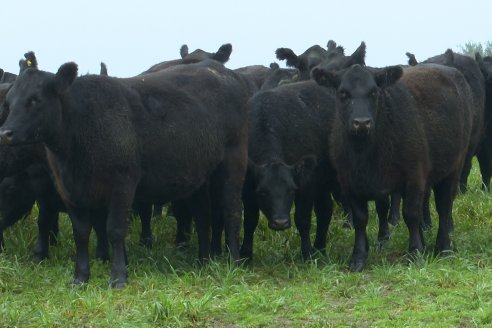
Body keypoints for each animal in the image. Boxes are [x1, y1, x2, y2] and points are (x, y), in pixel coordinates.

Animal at [316, 64, 472, 272]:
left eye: (374, 92)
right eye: (343, 93)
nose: (362, 122)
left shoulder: (414, 177)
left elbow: (411, 214)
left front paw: (415, 252)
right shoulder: (349, 184)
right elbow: (360, 220)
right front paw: (358, 258)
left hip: (453, 168)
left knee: (444, 207)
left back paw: (443, 247)